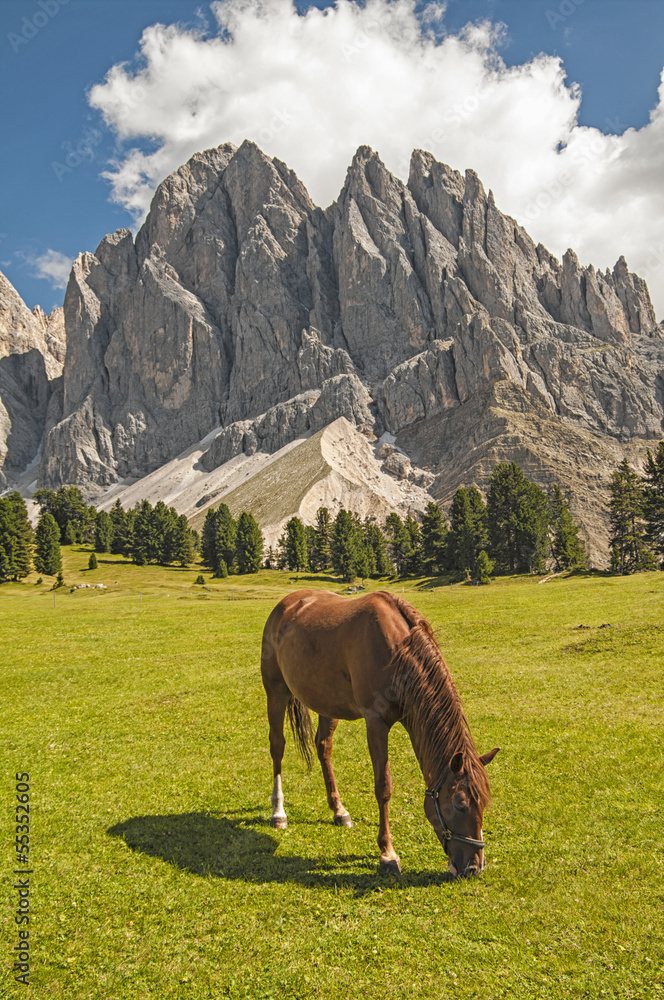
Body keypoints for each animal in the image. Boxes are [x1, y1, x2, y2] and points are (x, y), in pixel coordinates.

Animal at [260, 588, 498, 880]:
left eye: (483, 803)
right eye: (460, 804)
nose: (474, 867)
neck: (399, 654)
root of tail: (287, 604)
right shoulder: (375, 722)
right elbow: (383, 787)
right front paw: (388, 854)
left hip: (326, 702)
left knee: (323, 747)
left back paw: (339, 811)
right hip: (275, 690)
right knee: (277, 747)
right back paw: (278, 812)